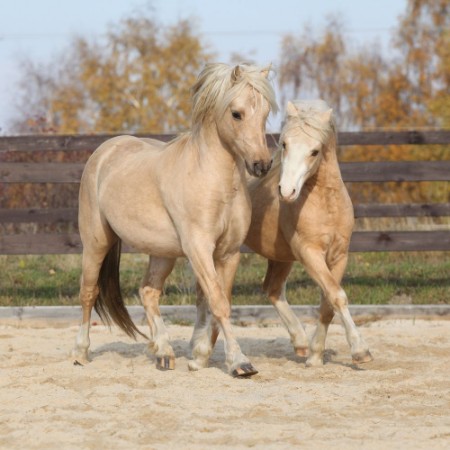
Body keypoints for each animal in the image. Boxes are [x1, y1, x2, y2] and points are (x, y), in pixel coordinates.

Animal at [71, 61, 278, 376]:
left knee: (148, 292)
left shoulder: (228, 253)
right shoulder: (199, 249)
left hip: (162, 252)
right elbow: (218, 302)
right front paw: (240, 362)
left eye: (265, 113)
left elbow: (218, 301)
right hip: (96, 242)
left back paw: (164, 353)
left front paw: (200, 357)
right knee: (88, 292)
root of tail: (105, 150)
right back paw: (81, 353)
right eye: (236, 113)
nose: (262, 164)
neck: (214, 181)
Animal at [193, 100, 372, 368]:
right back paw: (201, 353)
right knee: (211, 296)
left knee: (272, 289)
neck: (326, 205)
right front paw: (360, 350)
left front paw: (315, 356)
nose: (286, 191)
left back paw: (300, 342)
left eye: (315, 151)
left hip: (280, 258)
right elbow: (337, 296)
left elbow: (328, 303)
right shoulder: (309, 253)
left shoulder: (339, 256)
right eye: (284, 144)